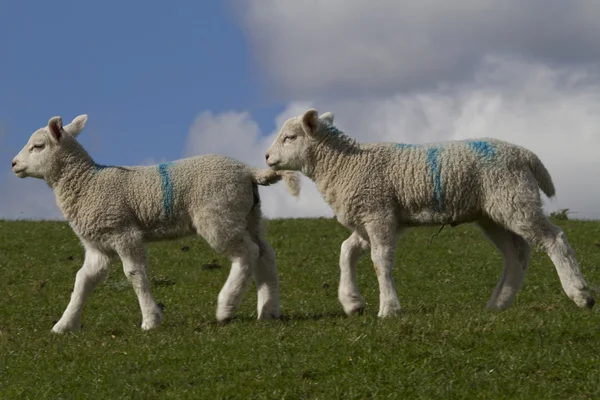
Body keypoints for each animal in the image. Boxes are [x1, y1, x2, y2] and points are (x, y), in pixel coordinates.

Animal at [9, 114, 300, 332]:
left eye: (38, 146)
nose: (13, 164)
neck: (86, 183)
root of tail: (247, 171)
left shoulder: (123, 232)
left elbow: (134, 275)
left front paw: (150, 319)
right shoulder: (98, 245)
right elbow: (84, 280)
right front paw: (64, 324)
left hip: (218, 215)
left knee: (246, 253)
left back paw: (226, 307)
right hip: (249, 215)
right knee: (265, 253)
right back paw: (268, 309)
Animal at [266, 108, 596, 318]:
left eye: (290, 137)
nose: (267, 157)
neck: (343, 164)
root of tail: (526, 155)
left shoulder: (378, 213)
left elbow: (380, 260)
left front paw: (388, 308)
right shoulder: (373, 218)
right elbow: (346, 251)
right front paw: (351, 302)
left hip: (512, 197)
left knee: (554, 239)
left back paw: (580, 294)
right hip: (494, 211)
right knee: (517, 253)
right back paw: (498, 303)